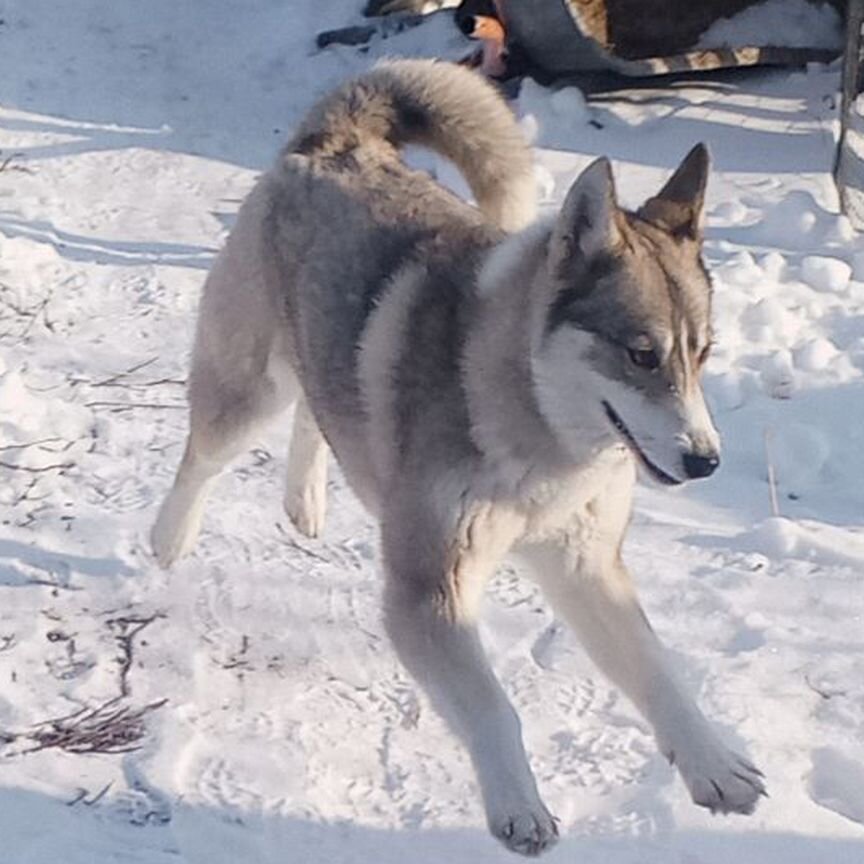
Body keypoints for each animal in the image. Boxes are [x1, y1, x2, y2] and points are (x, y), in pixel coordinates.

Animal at [152, 59, 768, 856]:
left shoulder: (588, 566)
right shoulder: (429, 592)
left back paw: (306, 500)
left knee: (322, 411)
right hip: (248, 389)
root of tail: (339, 139)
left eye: (704, 353)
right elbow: (494, 708)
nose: (705, 462)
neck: (534, 430)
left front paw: (715, 767)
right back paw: (170, 538)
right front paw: (519, 808)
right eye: (640, 354)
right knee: (203, 454)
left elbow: (660, 673)